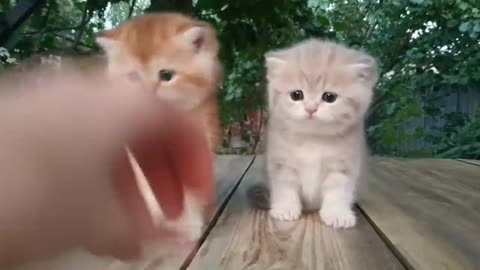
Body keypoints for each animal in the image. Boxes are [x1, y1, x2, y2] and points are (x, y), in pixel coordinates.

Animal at [264, 38, 376, 228]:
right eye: (296, 95)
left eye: (329, 97)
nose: (310, 109)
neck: (312, 138)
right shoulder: (283, 164)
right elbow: (286, 188)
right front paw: (286, 208)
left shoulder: (342, 166)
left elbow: (337, 192)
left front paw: (337, 214)